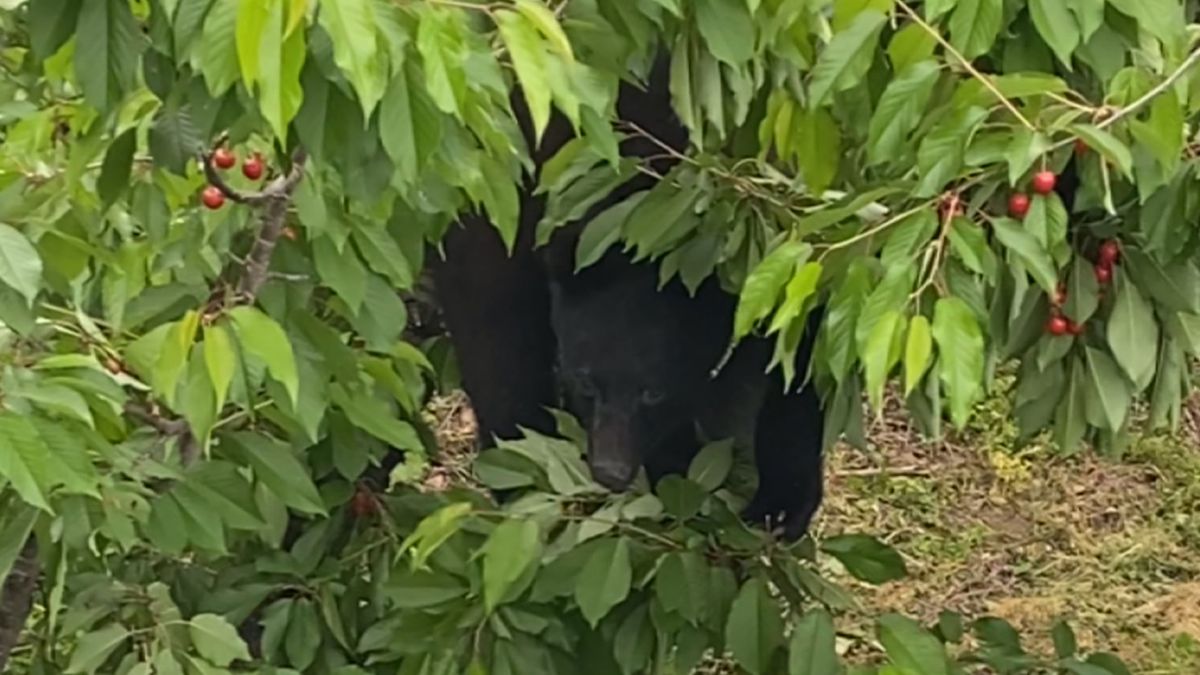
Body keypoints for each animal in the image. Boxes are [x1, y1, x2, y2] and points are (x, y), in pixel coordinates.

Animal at [429, 51, 825, 535]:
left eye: (653, 392)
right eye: (584, 380)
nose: (610, 471)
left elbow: (800, 347)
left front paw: (781, 502)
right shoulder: (508, 197)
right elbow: (494, 330)